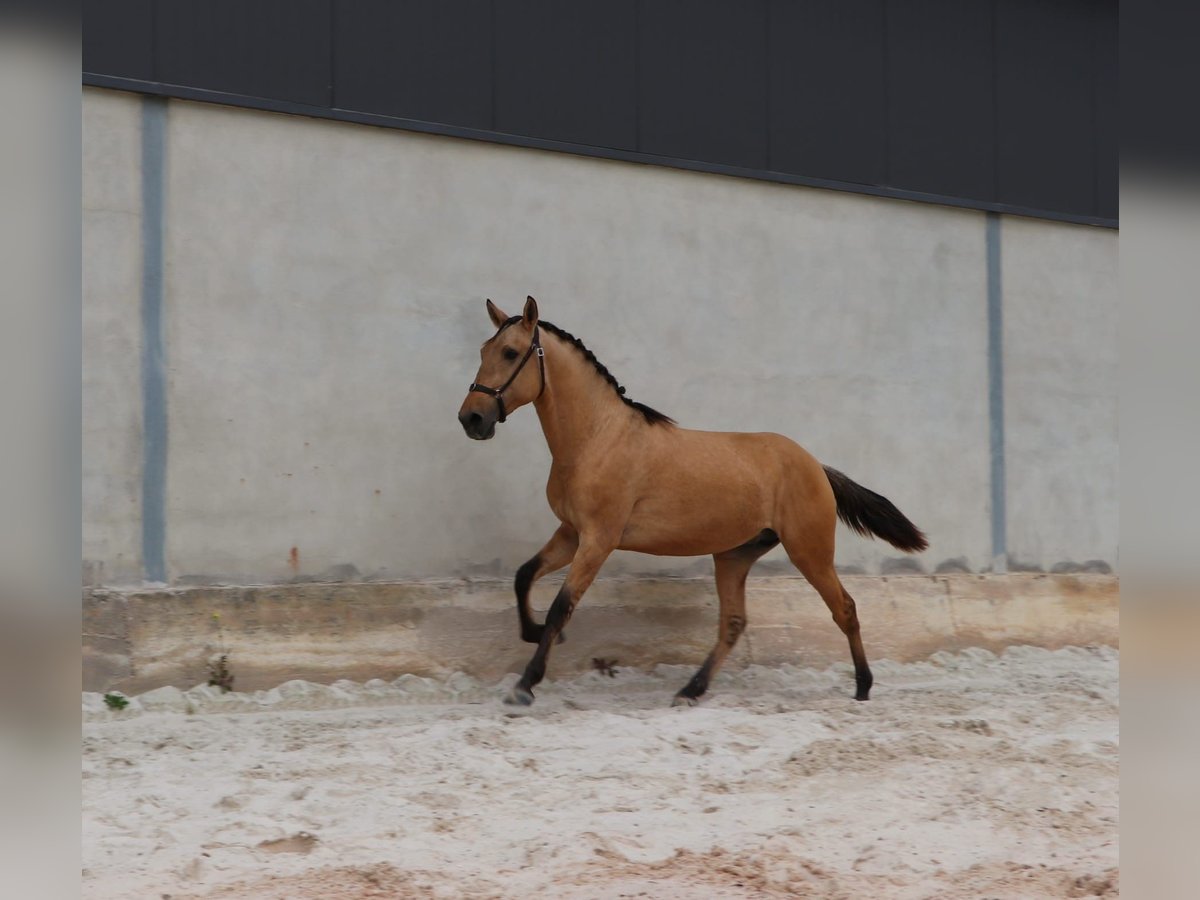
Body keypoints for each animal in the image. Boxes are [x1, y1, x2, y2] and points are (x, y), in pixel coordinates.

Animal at [458, 300, 926, 710]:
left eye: (510, 352)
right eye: (483, 350)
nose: (472, 419)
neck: (597, 438)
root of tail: (816, 466)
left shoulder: (598, 540)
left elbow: (562, 606)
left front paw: (525, 685)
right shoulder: (572, 533)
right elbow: (524, 576)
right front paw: (534, 632)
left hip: (809, 551)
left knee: (844, 609)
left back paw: (863, 687)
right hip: (734, 556)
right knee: (733, 624)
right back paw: (690, 691)